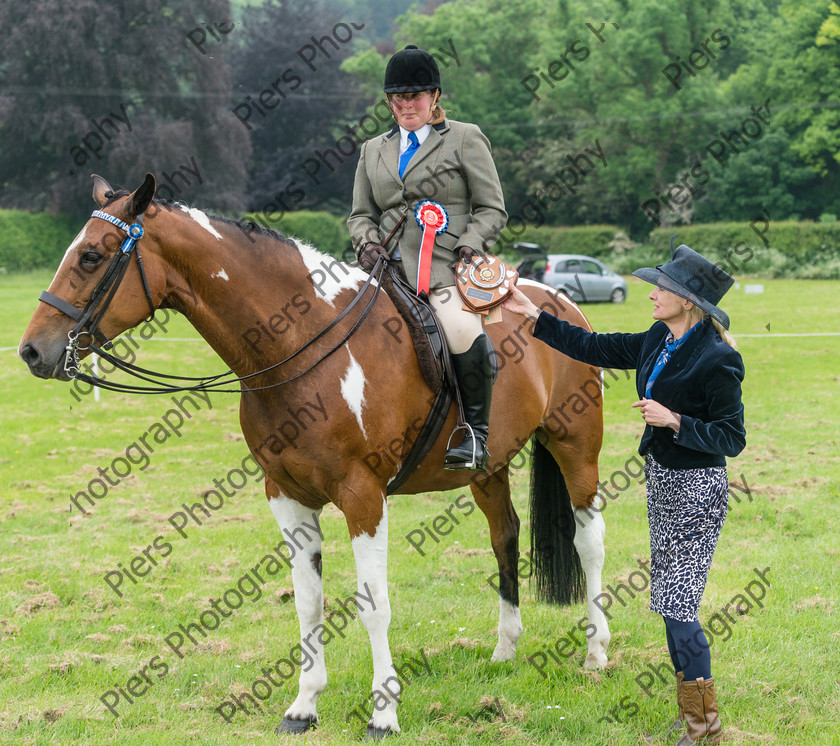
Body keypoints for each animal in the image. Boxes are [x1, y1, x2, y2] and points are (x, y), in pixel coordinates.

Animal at [18, 174, 612, 740]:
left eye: (91, 256)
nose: (31, 351)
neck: (300, 348)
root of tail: (557, 300)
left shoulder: (363, 497)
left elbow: (373, 604)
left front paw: (383, 714)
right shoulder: (287, 496)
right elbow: (308, 602)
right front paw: (303, 707)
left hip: (576, 448)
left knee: (588, 542)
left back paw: (596, 652)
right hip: (488, 468)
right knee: (504, 536)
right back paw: (505, 649)